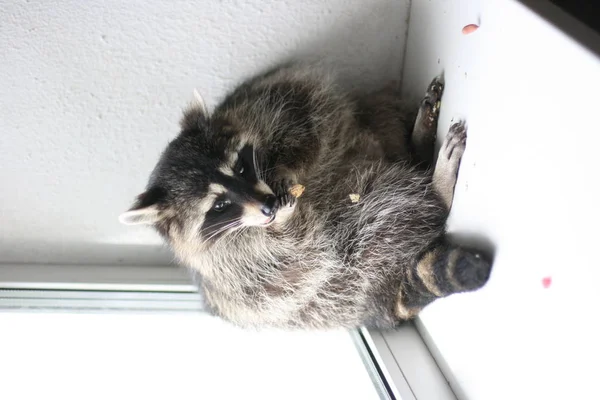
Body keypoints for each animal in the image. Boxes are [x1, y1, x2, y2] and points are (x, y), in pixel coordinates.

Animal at [119, 62, 490, 330]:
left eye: (240, 167)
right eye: (219, 206)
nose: (269, 207)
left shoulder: (261, 105)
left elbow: (302, 108)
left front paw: (291, 167)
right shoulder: (241, 270)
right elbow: (294, 255)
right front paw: (286, 219)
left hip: (377, 121)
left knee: (388, 126)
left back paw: (421, 140)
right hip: (361, 253)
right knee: (395, 209)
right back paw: (438, 185)